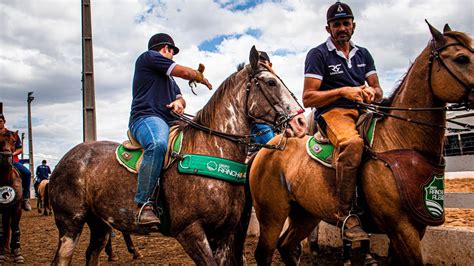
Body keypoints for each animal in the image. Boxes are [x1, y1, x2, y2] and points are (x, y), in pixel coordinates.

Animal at [49, 46, 308, 266]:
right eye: (271, 82)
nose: (300, 122)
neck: (211, 149)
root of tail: (65, 159)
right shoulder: (190, 231)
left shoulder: (224, 233)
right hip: (70, 223)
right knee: (62, 258)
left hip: (100, 224)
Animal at [250, 23, 472, 266]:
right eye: (461, 58)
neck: (401, 142)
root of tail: (266, 150)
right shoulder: (402, 228)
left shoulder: (415, 227)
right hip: (272, 214)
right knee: (265, 252)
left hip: (305, 214)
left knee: (287, 246)